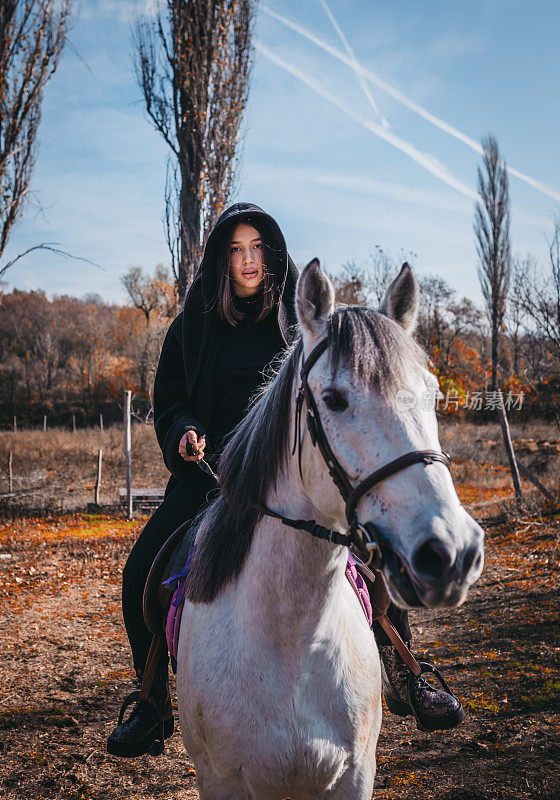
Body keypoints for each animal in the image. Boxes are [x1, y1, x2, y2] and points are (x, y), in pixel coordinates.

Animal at [177, 260, 484, 796]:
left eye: (432, 394)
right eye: (335, 399)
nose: (452, 553)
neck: (292, 640)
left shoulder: (355, 773)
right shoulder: (219, 780)